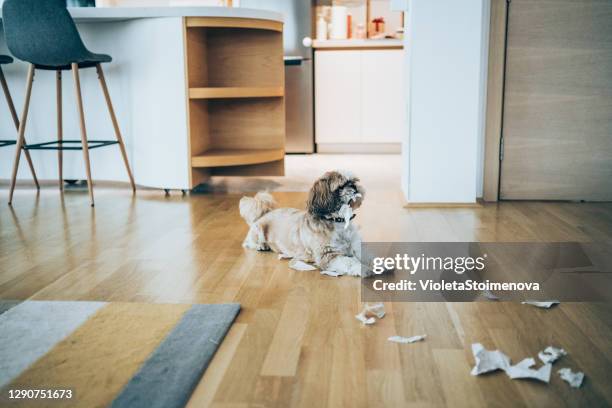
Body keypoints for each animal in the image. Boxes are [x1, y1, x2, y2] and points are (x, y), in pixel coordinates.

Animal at [238, 169, 368, 278]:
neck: (339, 221)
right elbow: (349, 261)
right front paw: (363, 269)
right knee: (248, 243)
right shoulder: (328, 255)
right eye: (341, 186)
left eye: (354, 181)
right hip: (258, 231)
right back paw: (261, 246)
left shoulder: (356, 246)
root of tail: (265, 213)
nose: (354, 186)